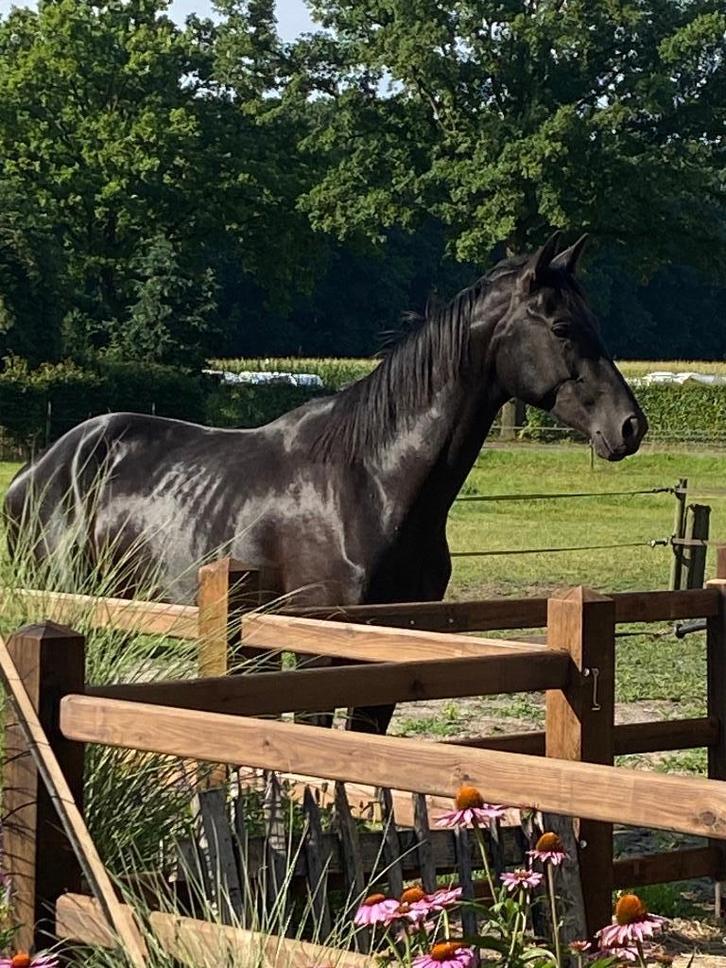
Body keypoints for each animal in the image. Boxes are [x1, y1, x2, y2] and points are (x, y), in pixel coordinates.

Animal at [4, 232, 647, 733]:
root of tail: (36, 473)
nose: (629, 426)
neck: (371, 485)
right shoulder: (316, 655)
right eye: (562, 327)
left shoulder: (392, 655)